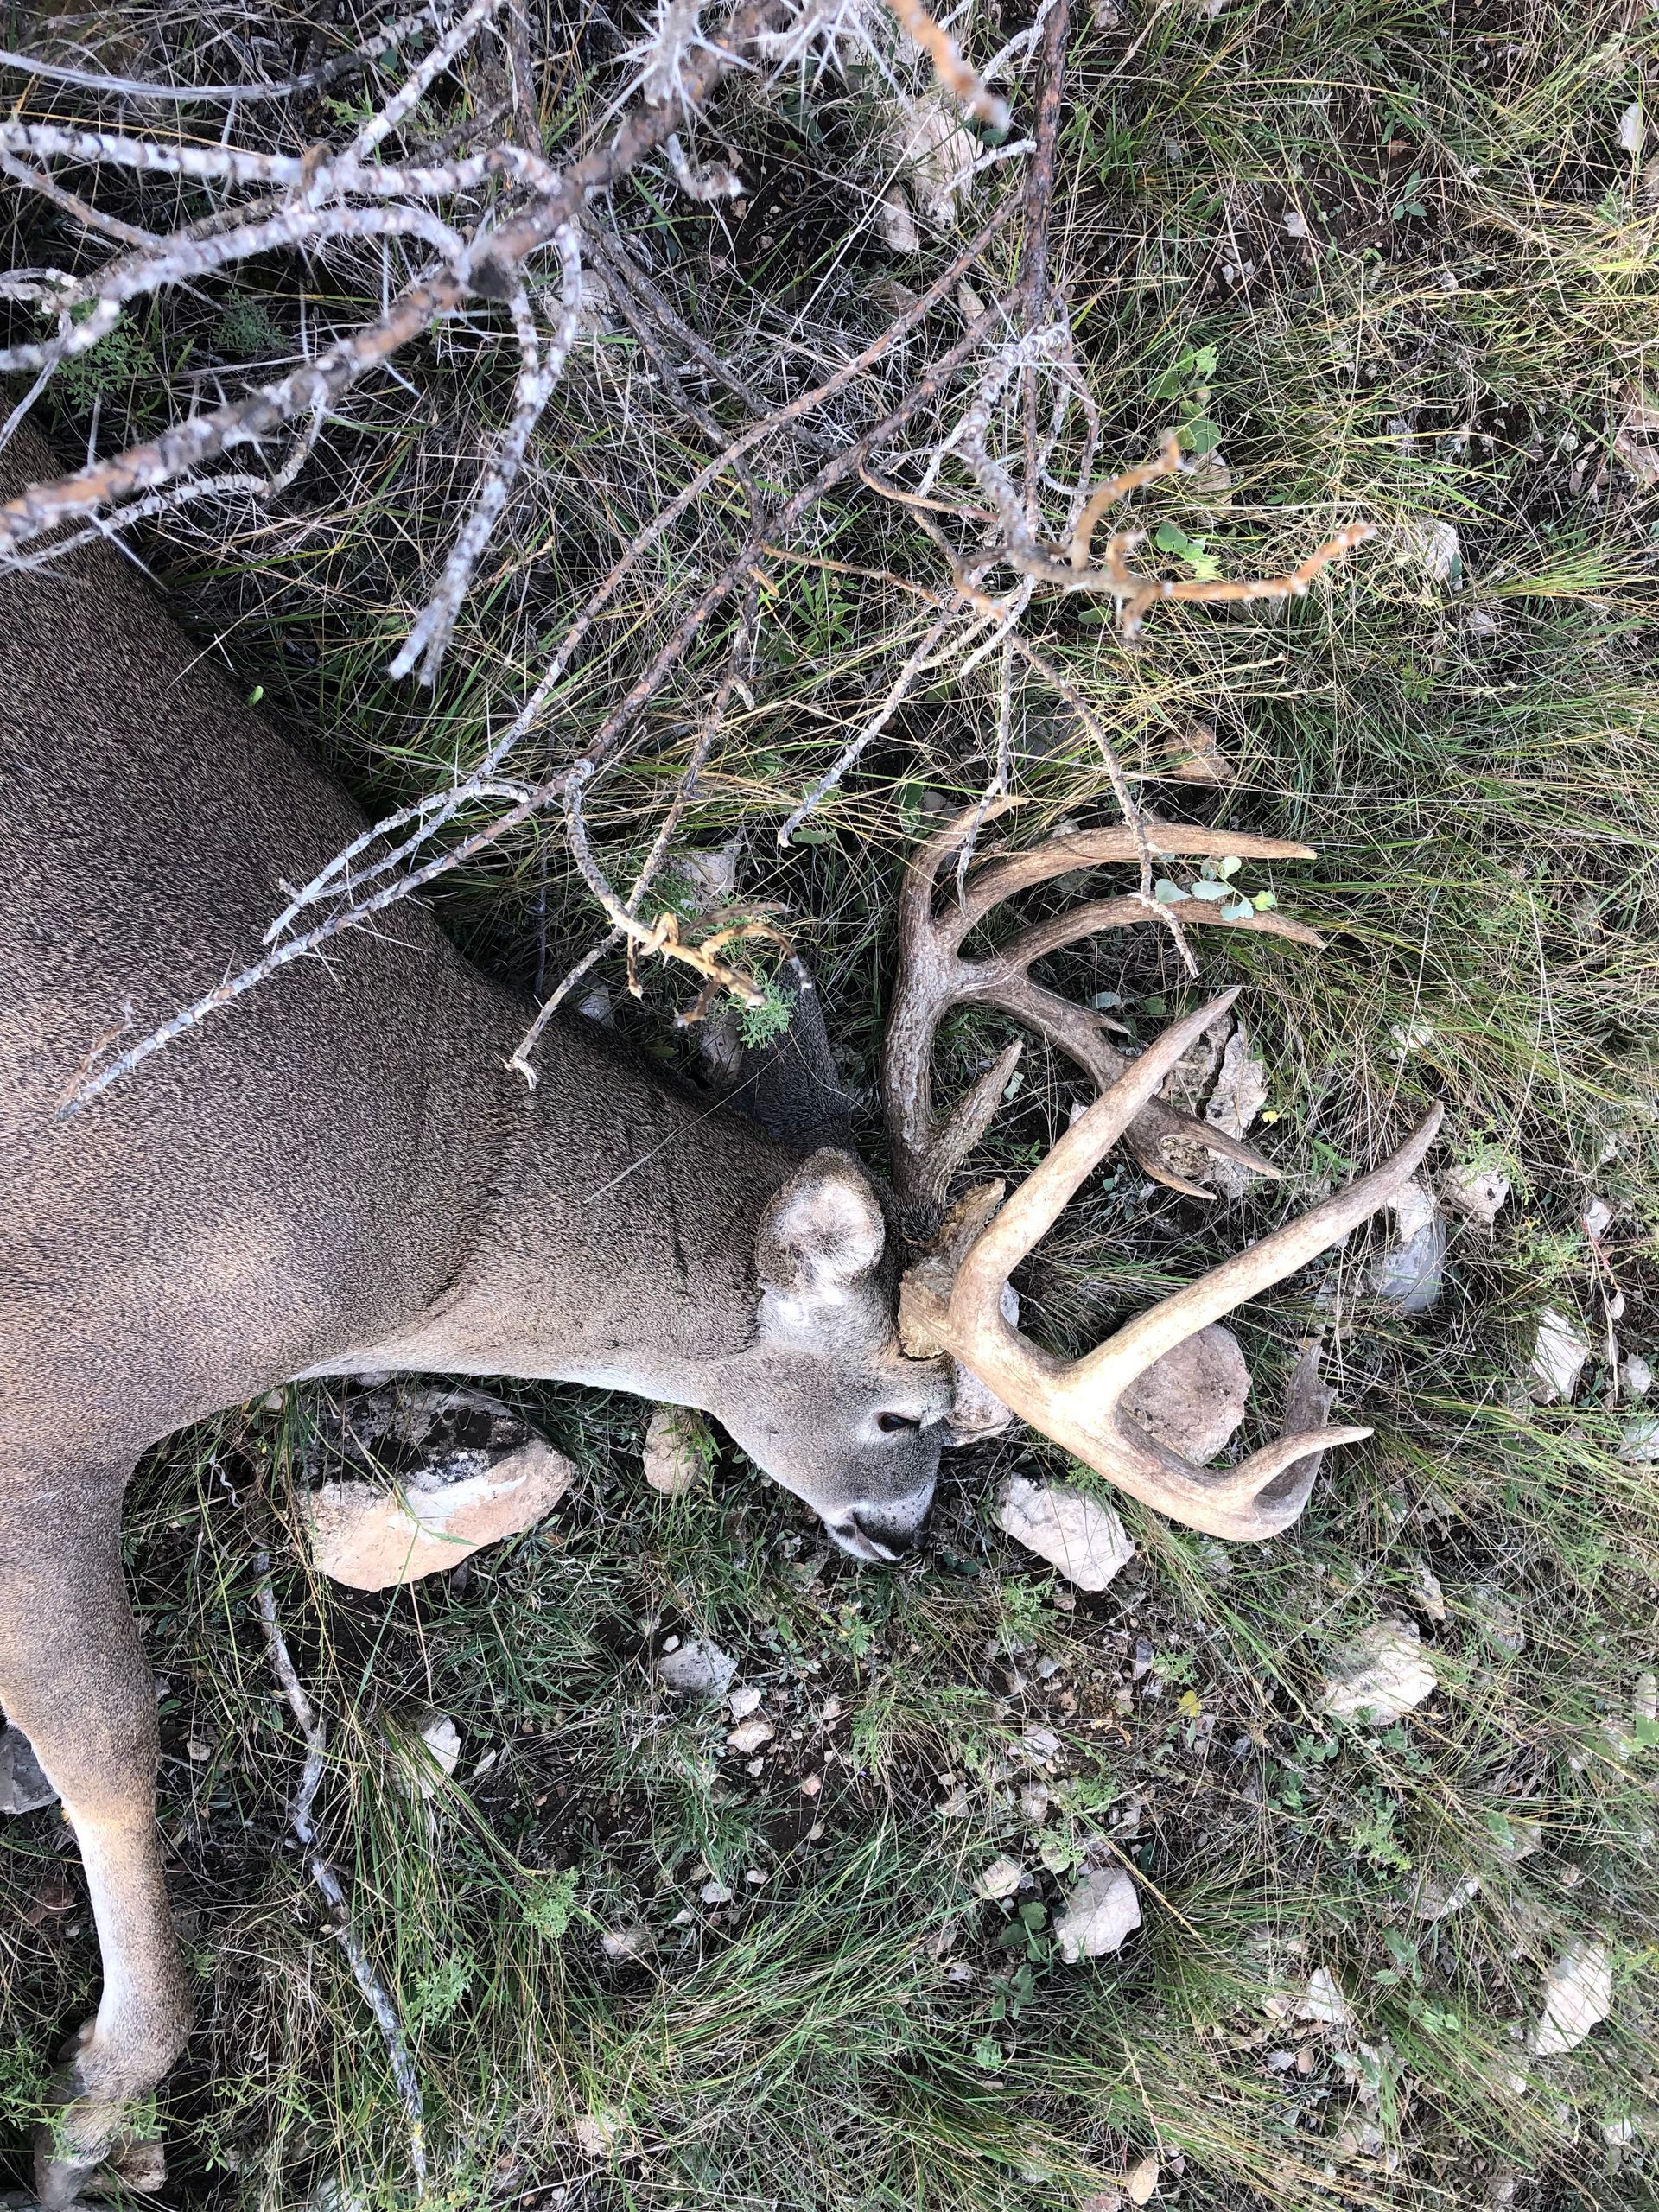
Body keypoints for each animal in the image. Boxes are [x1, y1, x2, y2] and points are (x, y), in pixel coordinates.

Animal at [0, 411, 1436, 2206]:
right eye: (903, 1409)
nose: (897, 1532)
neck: (438, 1205)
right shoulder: (59, 1396)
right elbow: (109, 1732)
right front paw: (101, 2099)